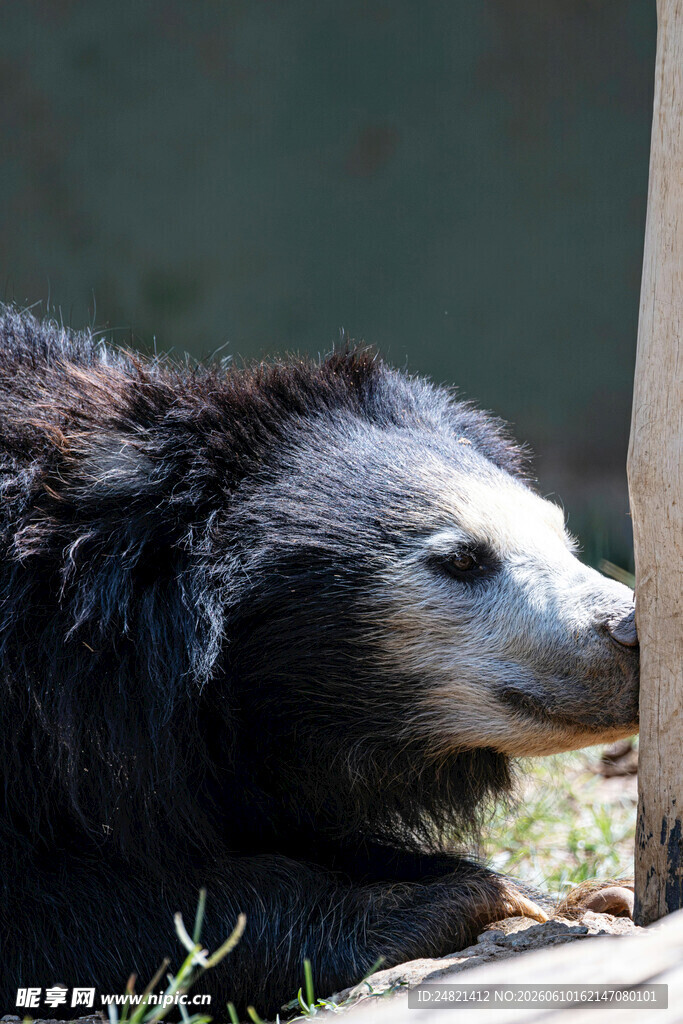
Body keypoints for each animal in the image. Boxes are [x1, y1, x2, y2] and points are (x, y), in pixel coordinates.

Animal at [0, 306, 638, 1019]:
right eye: (462, 559)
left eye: (563, 536)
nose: (629, 633)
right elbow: (64, 908)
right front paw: (450, 900)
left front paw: (584, 895)